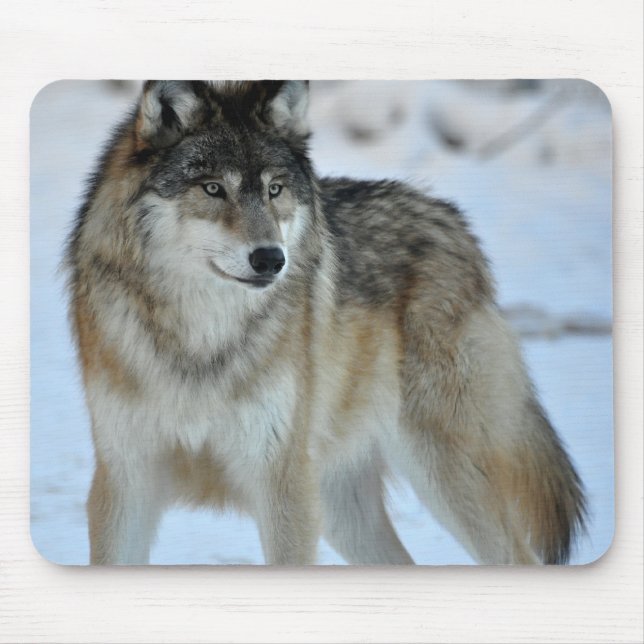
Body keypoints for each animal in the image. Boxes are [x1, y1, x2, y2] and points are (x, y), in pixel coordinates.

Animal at [66, 80, 585, 565]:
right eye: (213, 188)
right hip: (343, 505)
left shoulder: (282, 484)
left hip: (442, 473)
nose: (271, 259)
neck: (201, 339)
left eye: (275, 190)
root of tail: (449, 217)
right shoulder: (124, 482)